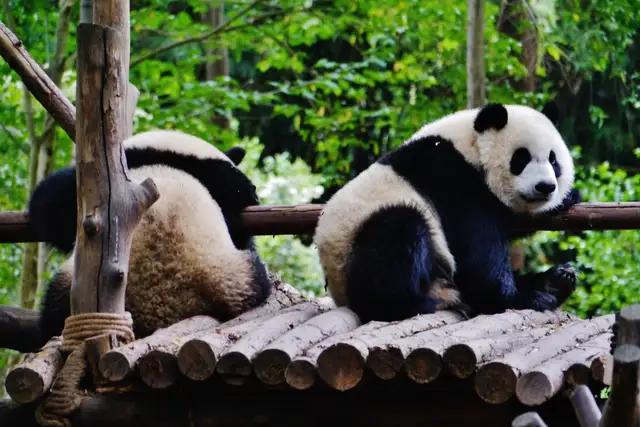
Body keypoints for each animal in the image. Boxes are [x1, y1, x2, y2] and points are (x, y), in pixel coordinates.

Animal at [313, 102, 582, 323]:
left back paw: (556, 281)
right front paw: (518, 299)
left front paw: (568, 198)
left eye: (553, 160)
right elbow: (478, 251)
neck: (469, 146)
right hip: (354, 244)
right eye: (521, 158)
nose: (545, 187)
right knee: (398, 233)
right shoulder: (452, 179)